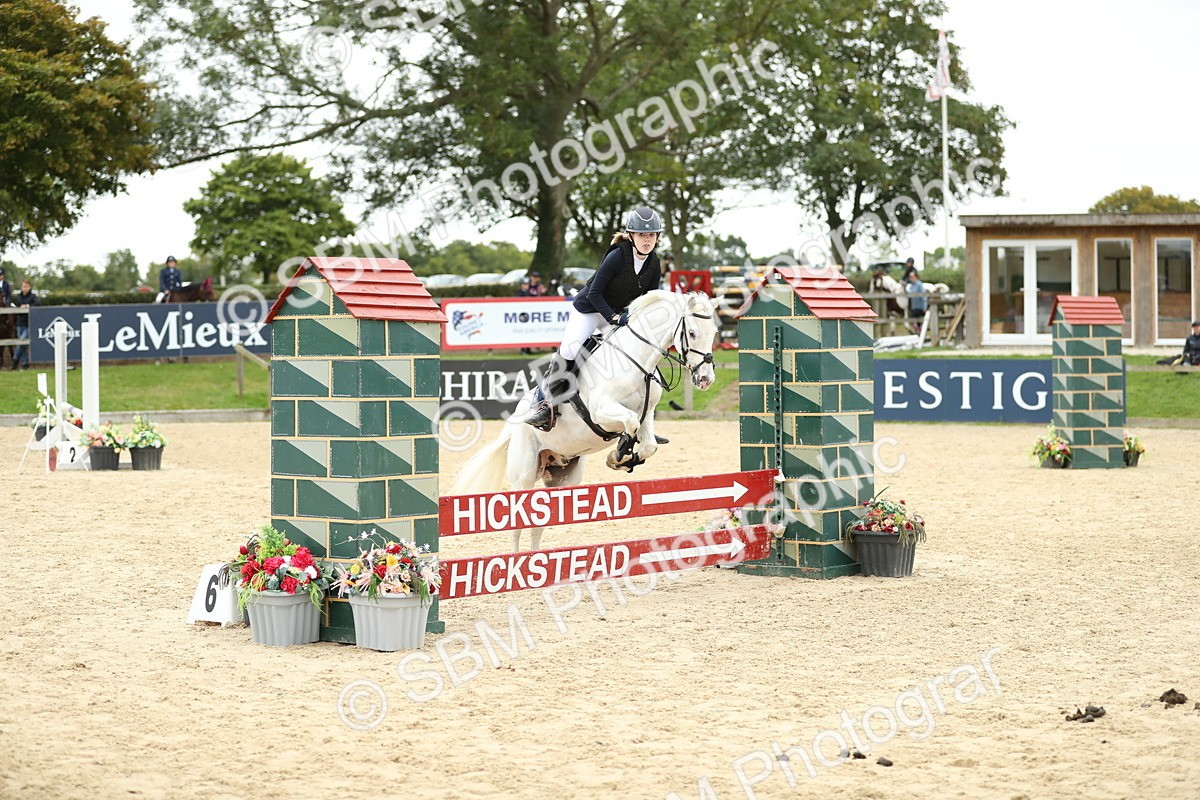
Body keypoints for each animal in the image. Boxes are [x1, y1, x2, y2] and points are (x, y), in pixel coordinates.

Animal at [453, 290, 721, 552]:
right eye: (693, 333)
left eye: (714, 333)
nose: (705, 379)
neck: (636, 360)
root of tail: (515, 420)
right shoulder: (601, 412)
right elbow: (630, 422)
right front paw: (619, 454)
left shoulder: (648, 414)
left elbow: (648, 444)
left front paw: (623, 458)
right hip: (524, 474)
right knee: (517, 520)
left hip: (561, 477)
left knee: (538, 521)